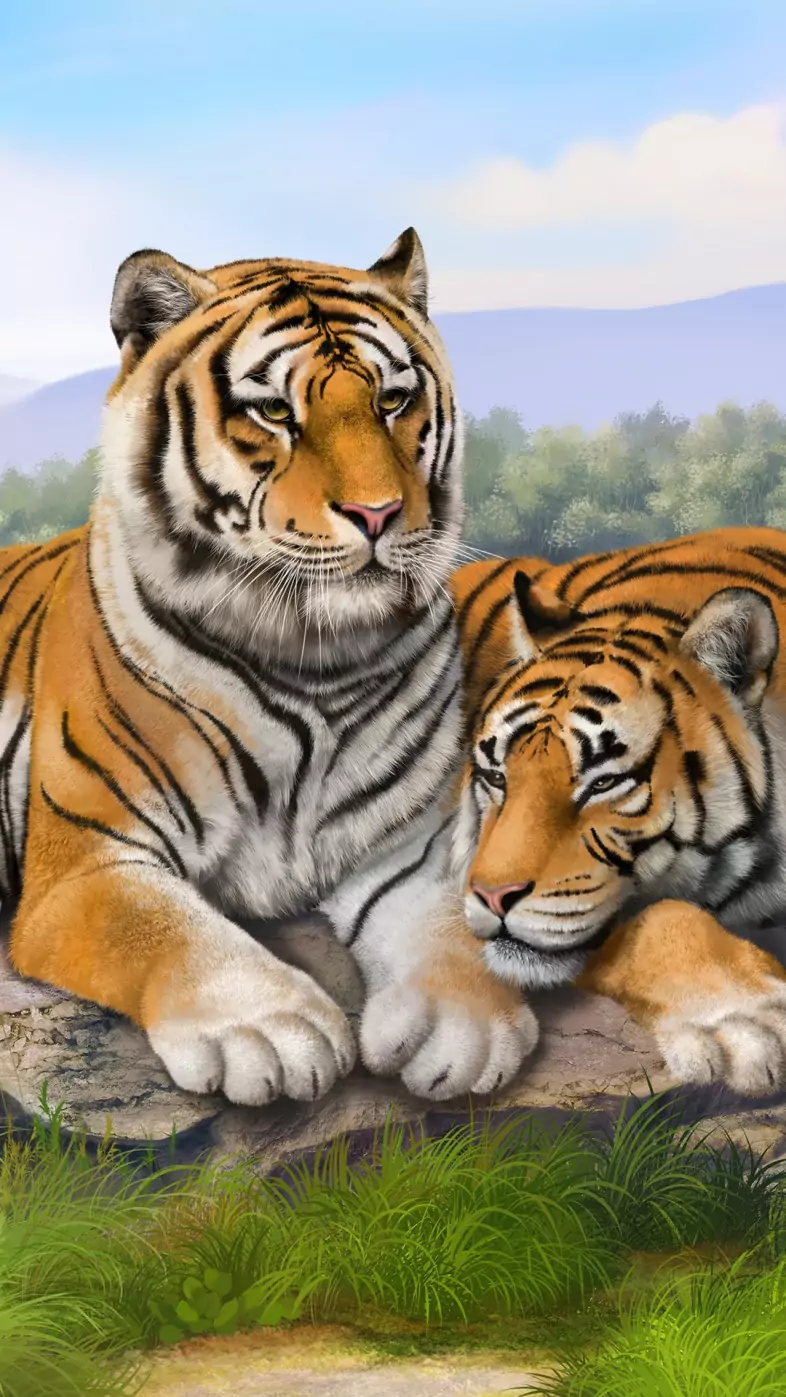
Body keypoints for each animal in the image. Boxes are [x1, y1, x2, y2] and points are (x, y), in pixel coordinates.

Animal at [3, 229, 537, 1108]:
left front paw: (462, 1025)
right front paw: (269, 1029)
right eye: (276, 412)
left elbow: (448, 922)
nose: (379, 513)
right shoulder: (93, 860)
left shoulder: (415, 842)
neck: (311, 657)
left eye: (393, 401)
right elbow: (169, 928)